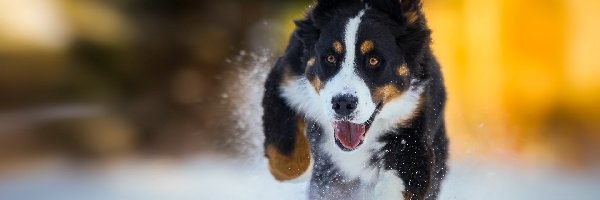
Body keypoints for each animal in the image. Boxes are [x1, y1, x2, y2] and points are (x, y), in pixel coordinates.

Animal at [260, 0, 448, 198]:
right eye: (330, 58)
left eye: (374, 60)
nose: (343, 103)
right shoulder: (285, 80)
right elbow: (285, 155)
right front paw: (304, 168)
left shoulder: (412, 123)